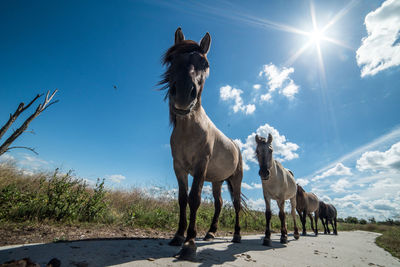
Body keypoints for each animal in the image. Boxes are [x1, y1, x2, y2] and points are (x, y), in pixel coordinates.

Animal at [160, 28, 244, 260]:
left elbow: (194, 198)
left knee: (236, 205)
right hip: (217, 181)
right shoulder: (178, 167)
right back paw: (210, 233)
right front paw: (178, 236)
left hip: (235, 179)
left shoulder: (201, 165)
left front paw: (189, 243)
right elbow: (182, 199)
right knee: (219, 203)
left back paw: (236, 236)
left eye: (205, 64)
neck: (190, 129)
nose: (182, 95)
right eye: (172, 59)